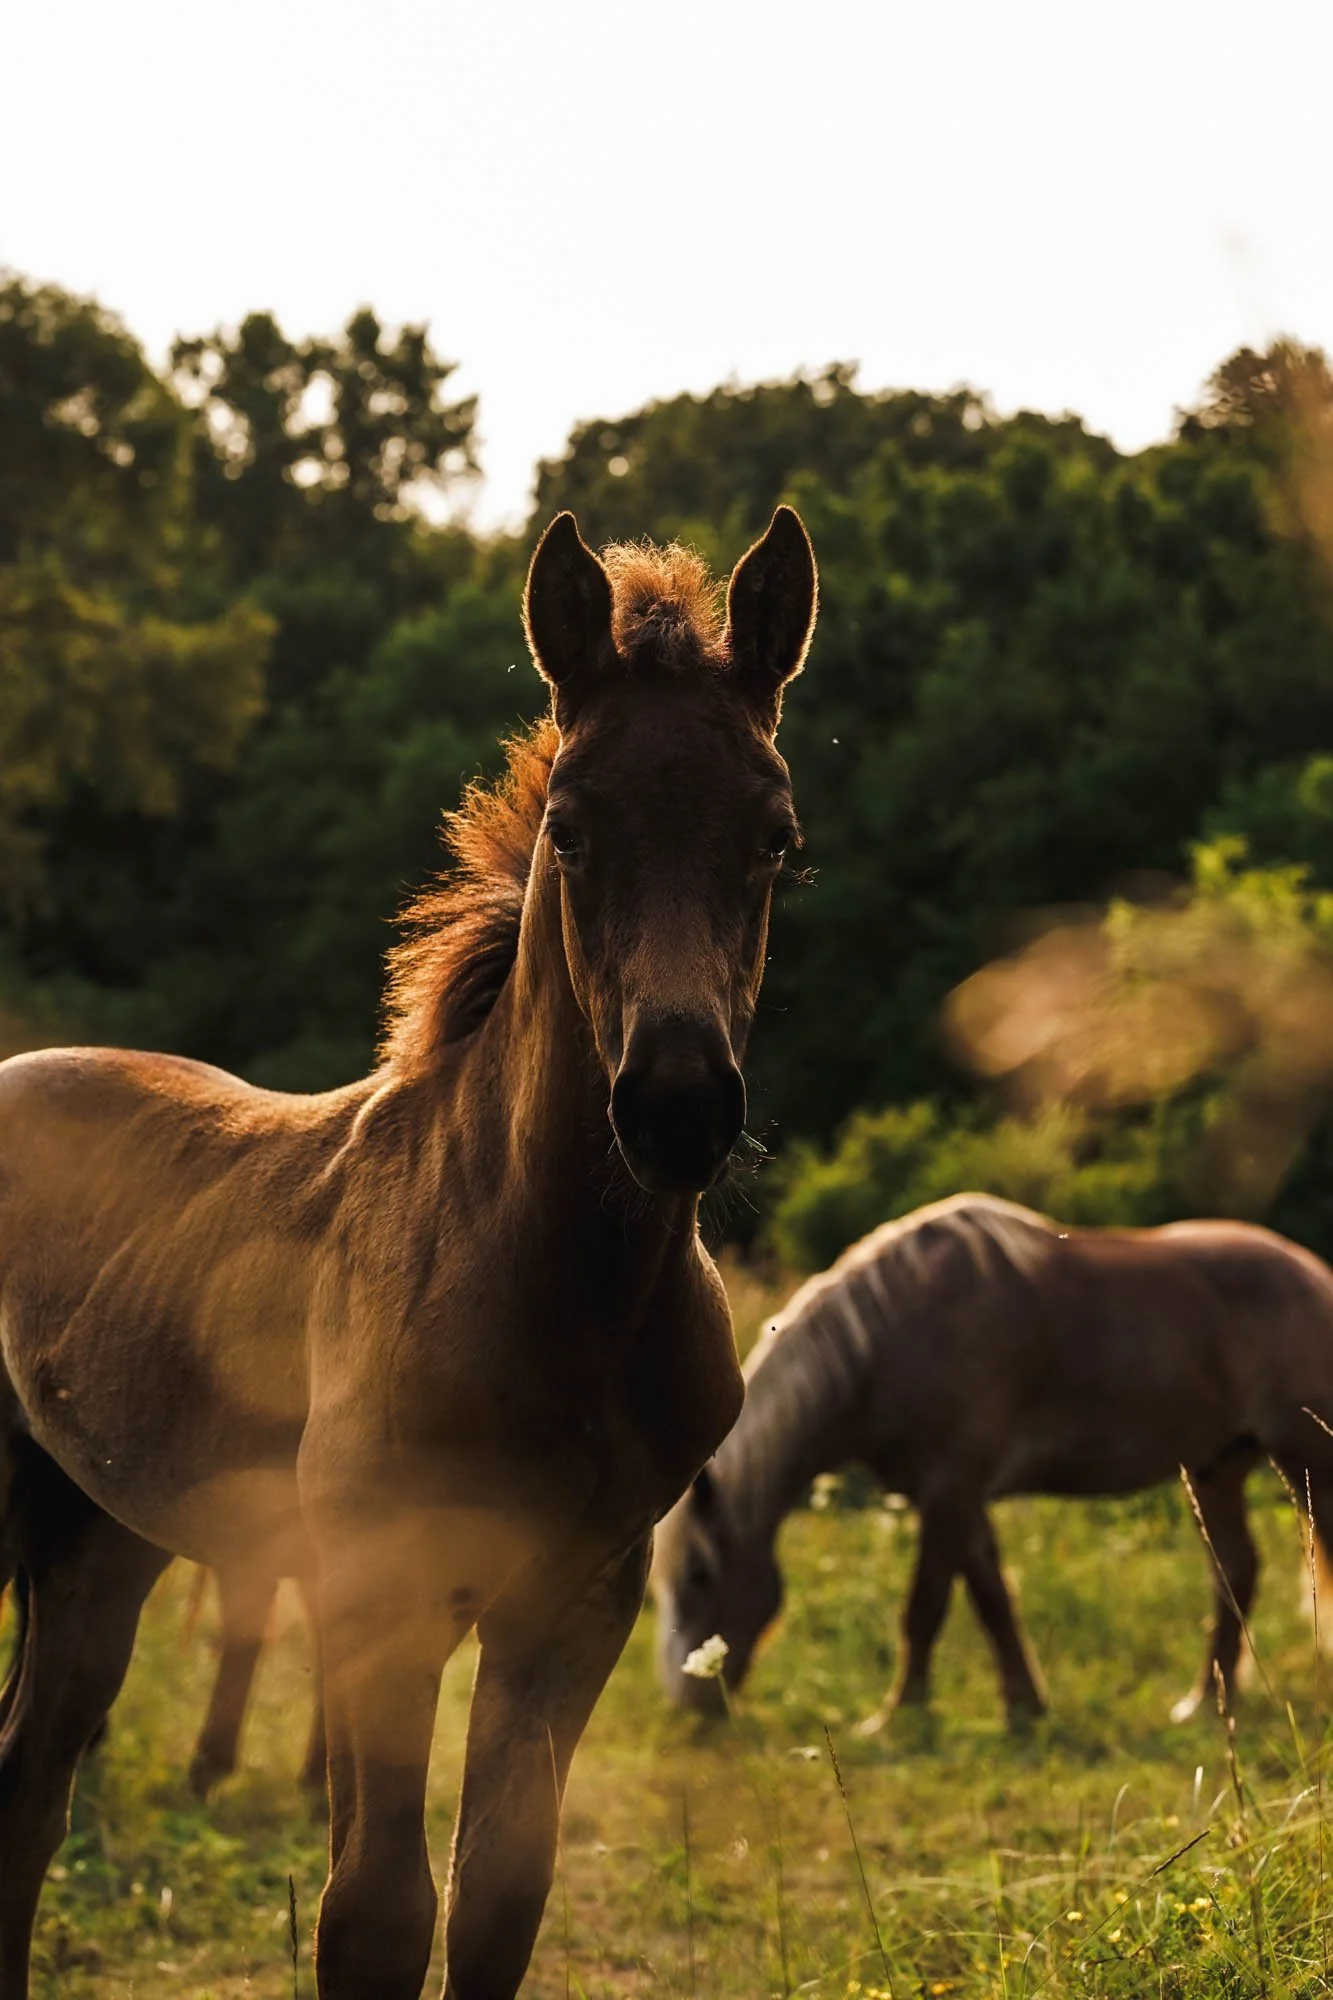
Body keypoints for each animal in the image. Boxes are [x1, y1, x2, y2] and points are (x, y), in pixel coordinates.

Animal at [0, 504, 817, 2000]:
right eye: (571, 827)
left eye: (773, 835)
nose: (675, 1107)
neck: (551, 1279)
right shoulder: (381, 1598)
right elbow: (374, 1912)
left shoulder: (573, 1603)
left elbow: (498, 1894)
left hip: (99, 1538)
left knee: (24, 1792)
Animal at [653, 1193, 1333, 1729]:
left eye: (700, 1576)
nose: (689, 1707)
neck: (886, 1341)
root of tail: (1311, 1273)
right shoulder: (961, 1498)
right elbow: (991, 1600)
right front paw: (1024, 1706)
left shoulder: (949, 1491)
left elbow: (925, 1607)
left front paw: (897, 1716)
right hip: (1217, 1467)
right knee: (1234, 1572)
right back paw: (1202, 1705)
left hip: (1306, 1461)